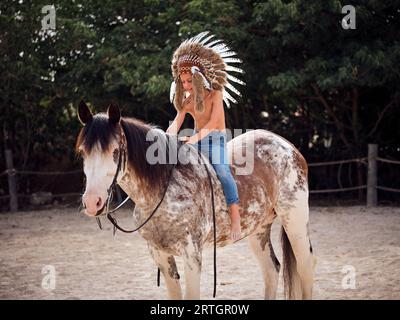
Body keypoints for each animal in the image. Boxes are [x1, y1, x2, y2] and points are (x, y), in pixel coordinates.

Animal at [76, 102, 318, 300]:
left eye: (115, 150)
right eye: (83, 152)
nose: (92, 202)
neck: (164, 189)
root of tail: (288, 147)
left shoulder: (192, 255)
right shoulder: (160, 255)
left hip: (295, 224)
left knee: (305, 268)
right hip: (258, 230)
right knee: (271, 271)